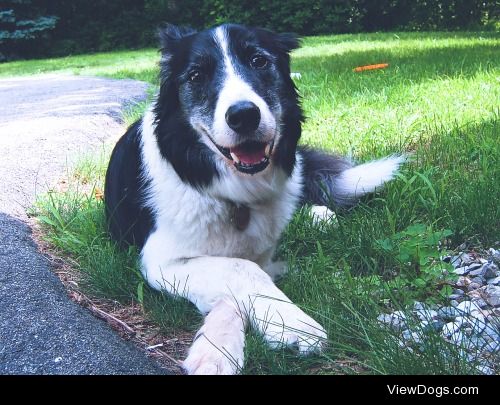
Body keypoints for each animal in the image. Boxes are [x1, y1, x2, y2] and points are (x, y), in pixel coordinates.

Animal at [104, 23, 402, 374]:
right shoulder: (159, 260)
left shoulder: (261, 254)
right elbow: (239, 270)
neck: (234, 193)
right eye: (196, 76)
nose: (244, 116)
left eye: (259, 61)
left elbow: (244, 272)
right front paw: (288, 326)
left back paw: (318, 215)